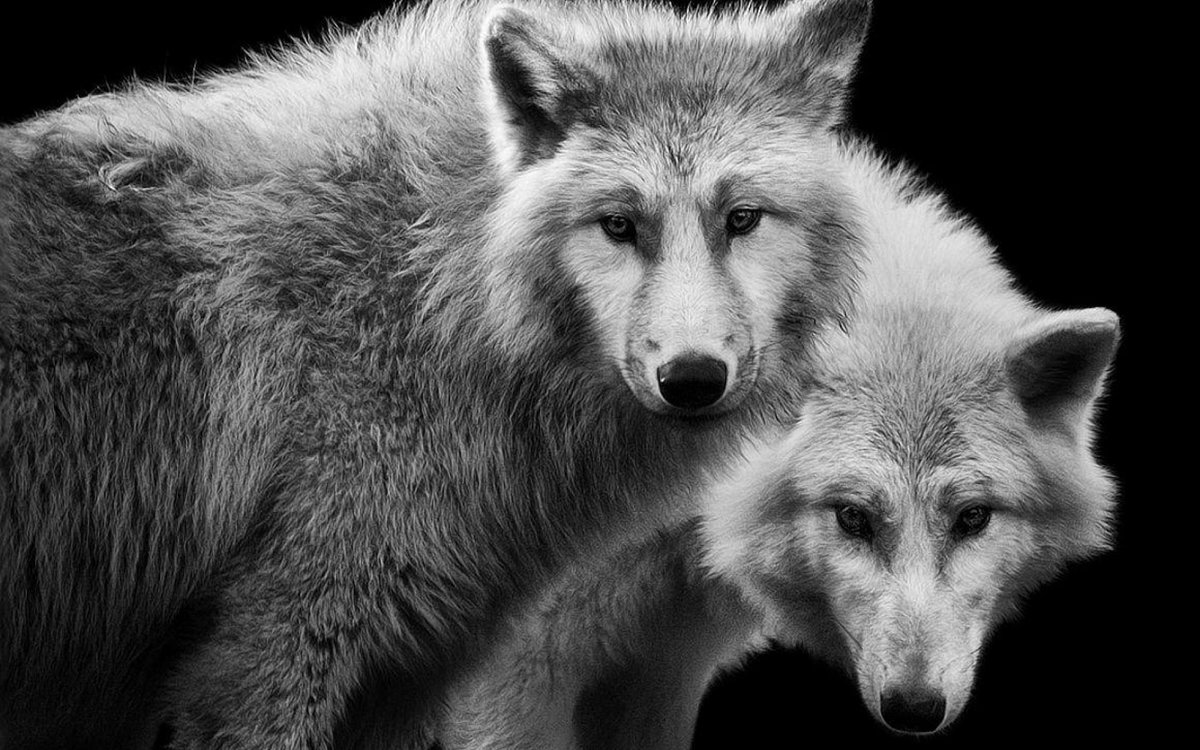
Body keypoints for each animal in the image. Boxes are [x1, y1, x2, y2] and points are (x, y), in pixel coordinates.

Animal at [0, 0, 871, 747]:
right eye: (620, 225)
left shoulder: (411, 671)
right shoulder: (269, 649)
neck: (434, 291)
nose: (692, 377)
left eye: (742, 219)